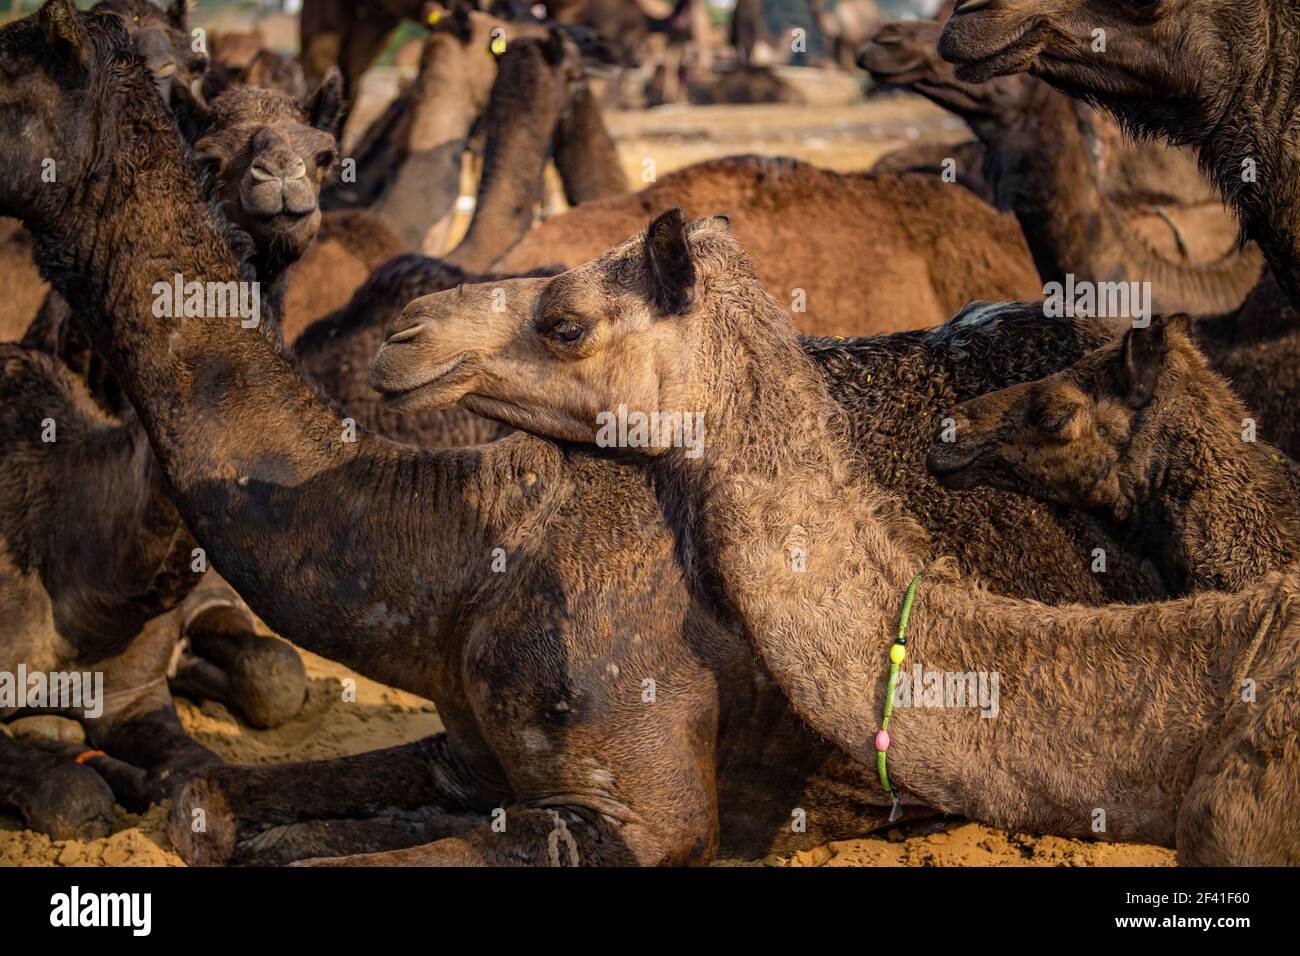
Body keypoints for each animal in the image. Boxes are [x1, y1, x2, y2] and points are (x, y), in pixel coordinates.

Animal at [5, 2, 1177, 865]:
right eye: (212, 147)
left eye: (7, 85)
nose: (403, 338)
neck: (457, 553)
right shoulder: (462, 757)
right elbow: (208, 805)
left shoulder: (637, 813)